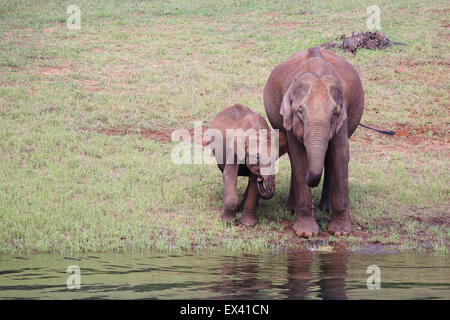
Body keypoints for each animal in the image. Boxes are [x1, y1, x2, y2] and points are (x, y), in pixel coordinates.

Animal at [264, 47, 366, 238]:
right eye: (300, 111)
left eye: (334, 113)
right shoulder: (290, 122)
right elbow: (298, 157)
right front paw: (306, 233)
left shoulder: (343, 118)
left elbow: (340, 155)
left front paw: (340, 232)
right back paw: (291, 209)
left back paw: (325, 208)